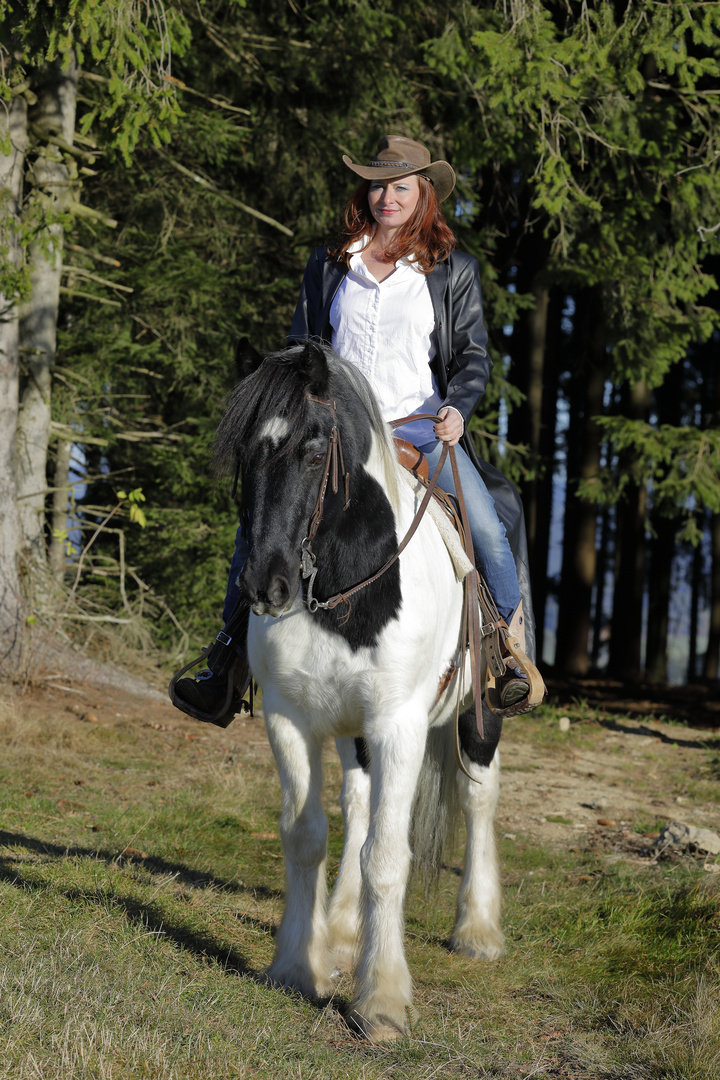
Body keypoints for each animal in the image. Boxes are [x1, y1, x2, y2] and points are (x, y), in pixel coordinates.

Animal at [216, 341, 505, 1041]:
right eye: (244, 452)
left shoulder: (398, 723)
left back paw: (478, 929)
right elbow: (306, 835)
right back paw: (344, 931)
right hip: (354, 732)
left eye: (314, 450)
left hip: (479, 715)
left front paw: (382, 1000)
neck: (342, 590)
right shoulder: (289, 719)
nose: (266, 585)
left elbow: (388, 857)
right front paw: (298, 966)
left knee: (479, 800)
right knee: (359, 802)